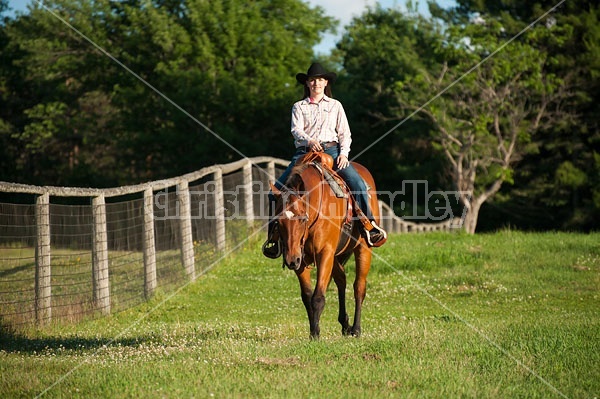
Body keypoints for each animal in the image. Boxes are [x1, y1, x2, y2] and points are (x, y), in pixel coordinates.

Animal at [270, 152, 382, 340]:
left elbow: (318, 297)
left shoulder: (325, 253)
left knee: (359, 287)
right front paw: (313, 330)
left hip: (363, 249)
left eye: (302, 218)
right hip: (336, 256)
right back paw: (345, 324)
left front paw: (315, 335)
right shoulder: (302, 258)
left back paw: (356, 329)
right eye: (278, 222)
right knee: (341, 280)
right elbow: (307, 296)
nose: (291, 260)